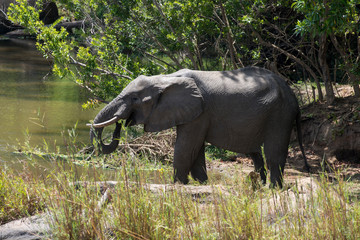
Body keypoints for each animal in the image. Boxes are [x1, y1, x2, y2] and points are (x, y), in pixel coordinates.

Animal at [89, 67, 310, 188]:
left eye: (135, 98)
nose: (120, 123)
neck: (165, 78)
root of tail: (293, 95)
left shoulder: (200, 112)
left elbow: (186, 148)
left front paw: (178, 185)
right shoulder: (193, 114)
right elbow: (196, 150)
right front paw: (202, 184)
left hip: (280, 115)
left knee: (274, 154)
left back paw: (273, 188)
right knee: (256, 154)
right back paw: (262, 185)